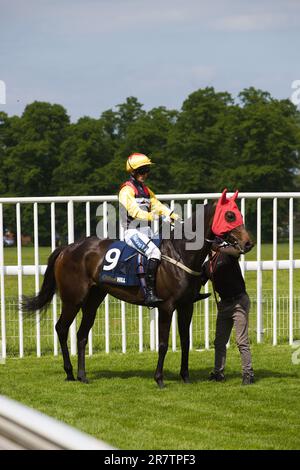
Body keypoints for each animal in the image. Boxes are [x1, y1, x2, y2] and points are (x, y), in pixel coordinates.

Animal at [24, 200, 253, 388]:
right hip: (73, 299)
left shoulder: (186, 305)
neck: (180, 253)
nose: (248, 243)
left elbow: (185, 341)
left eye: (238, 214)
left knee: (81, 335)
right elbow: (163, 343)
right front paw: (159, 379)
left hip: (94, 300)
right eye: (229, 216)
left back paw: (82, 375)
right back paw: (70, 373)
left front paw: (185, 377)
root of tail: (66, 248)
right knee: (61, 328)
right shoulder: (166, 306)